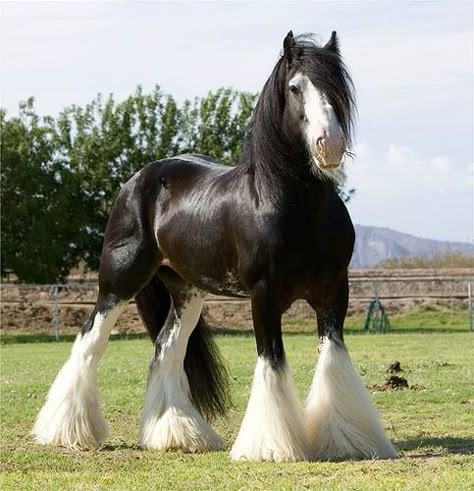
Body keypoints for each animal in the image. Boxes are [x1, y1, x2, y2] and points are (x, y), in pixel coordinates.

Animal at [32, 32, 396, 464]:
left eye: (337, 88)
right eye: (295, 88)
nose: (330, 145)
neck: (291, 205)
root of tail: (138, 179)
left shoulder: (334, 290)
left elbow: (333, 359)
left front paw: (348, 441)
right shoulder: (264, 294)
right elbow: (271, 361)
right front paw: (270, 447)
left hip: (187, 292)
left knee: (166, 351)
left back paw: (178, 435)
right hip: (118, 282)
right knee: (90, 342)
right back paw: (64, 431)